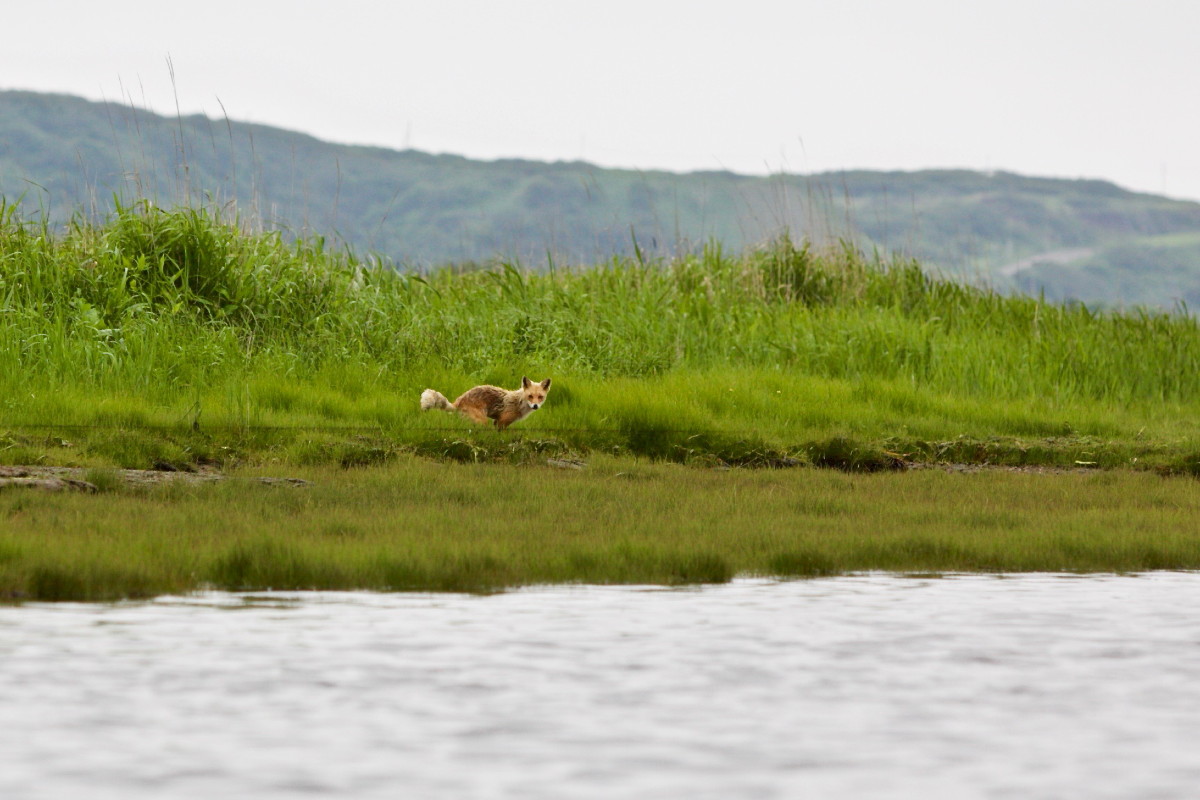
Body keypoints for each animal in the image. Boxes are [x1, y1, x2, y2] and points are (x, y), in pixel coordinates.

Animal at [422, 376, 552, 431]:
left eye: (540, 397)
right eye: (530, 396)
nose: (535, 406)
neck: (519, 402)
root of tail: (459, 400)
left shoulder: (497, 421)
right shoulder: (502, 421)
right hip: (482, 421)